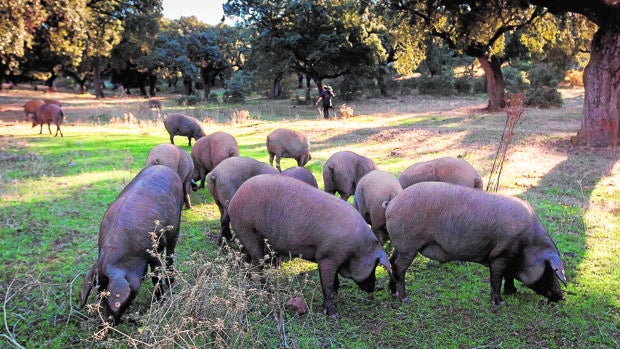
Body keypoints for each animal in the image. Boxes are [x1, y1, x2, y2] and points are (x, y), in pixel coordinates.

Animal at [78, 165, 183, 324]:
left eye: (109, 294)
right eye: (99, 291)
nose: (104, 324)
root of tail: (164, 167)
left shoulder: (155, 251)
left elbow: (156, 277)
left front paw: (160, 302)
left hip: (176, 226)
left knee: (170, 254)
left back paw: (171, 283)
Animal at [228, 174, 392, 318]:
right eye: (375, 265)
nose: (373, 287)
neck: (357, 249)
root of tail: (235, 198)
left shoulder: (327, 259)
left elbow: (333, 282)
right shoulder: (328, 257)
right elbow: (328, 285)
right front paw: (333, 314)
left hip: (245, 237)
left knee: (244, 258)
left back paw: (247, 282)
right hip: (249, 231)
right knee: (257, 264)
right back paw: (268, 291)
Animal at [386, 182, 568, 304]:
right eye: (550, 270)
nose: (560, 296)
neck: (528, 244)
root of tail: (391, 204)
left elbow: (507, 275)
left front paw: (512, 292)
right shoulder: (501, 254)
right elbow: (497, 277)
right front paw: (501, 303)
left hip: (400, 245)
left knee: (391, 262)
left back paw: (393, 293)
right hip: (409, 244)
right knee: (400, 267)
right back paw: (405, 298)